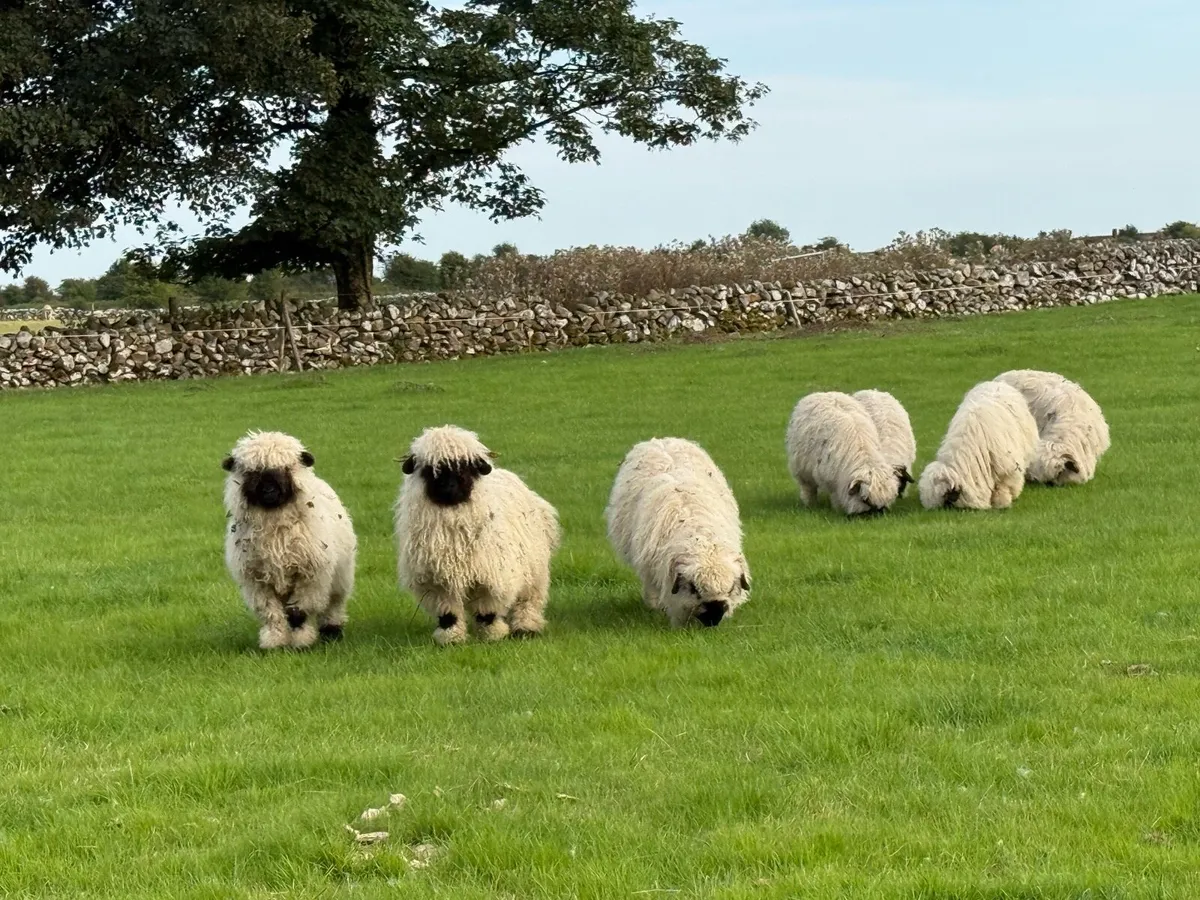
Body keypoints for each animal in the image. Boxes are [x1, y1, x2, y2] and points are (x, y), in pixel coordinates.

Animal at [222, 431, 357, 650]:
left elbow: (297, 612)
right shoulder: (257, 581)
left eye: (286, 468)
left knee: (332, 606)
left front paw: (300, 641)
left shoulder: (310, 575)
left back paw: (332, 632)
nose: (269, 491)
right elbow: (271, 614)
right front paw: (275, 641)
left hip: (339, 577)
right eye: (253, 472)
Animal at [394, 425, 561, 645]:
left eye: (466, 467)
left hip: (534, 570)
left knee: (528, 600)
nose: (450, 488)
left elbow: (487, 612)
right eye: (431, 470)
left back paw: (526, 627)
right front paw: (452, 638)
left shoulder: (491, 577)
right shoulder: (436, 582)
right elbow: (448, 614)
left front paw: (492, 635)